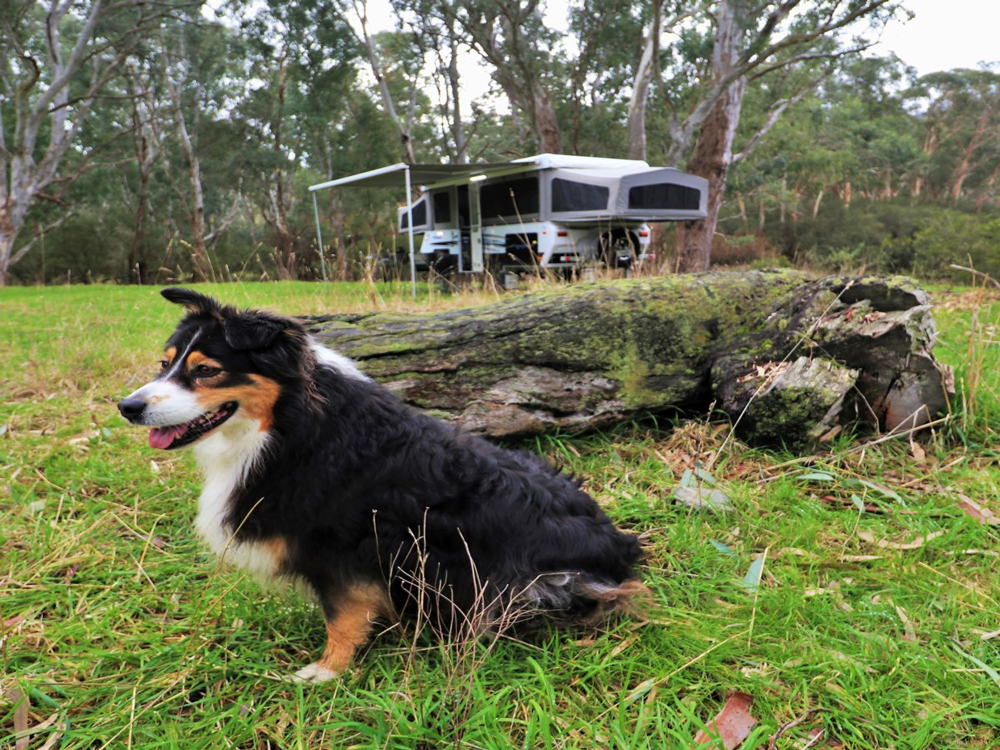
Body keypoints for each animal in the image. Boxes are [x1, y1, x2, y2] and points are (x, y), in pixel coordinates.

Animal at [117, 290, 644, 684]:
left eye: (206, 370)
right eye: (164, 364)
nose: (128, 407)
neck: (289, 425)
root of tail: (619, 550)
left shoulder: (344, 548)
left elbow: (342, 616)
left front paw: (326, 671)